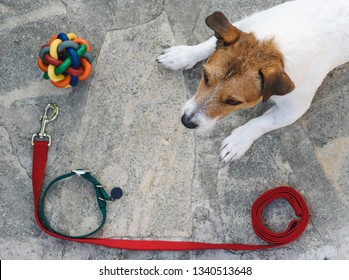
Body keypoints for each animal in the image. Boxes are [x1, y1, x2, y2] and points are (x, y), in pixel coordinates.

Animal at [157, 0, 348, 163]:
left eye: (233, 101)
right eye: (205, 76)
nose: (186, 122)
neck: (279, 49)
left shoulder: (293, 110)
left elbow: (259, 123)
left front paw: (238, 141)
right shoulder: (246, 24)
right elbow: (209, 43)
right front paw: (183, 55)